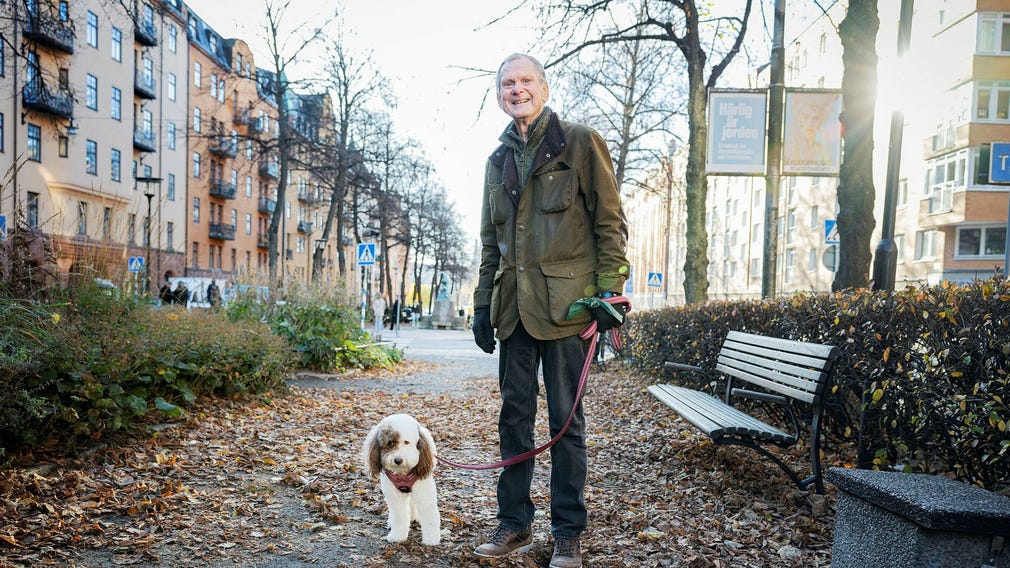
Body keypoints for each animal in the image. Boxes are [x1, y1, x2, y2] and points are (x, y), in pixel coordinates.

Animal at [363, 410, 442, 545]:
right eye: (390, 443)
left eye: (406, 442)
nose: (398, 460)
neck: (403, 474)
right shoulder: (395, 497)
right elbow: (399, 516)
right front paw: (397, 536)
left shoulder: (424, 494)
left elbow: (429, 516)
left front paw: (431, 539)